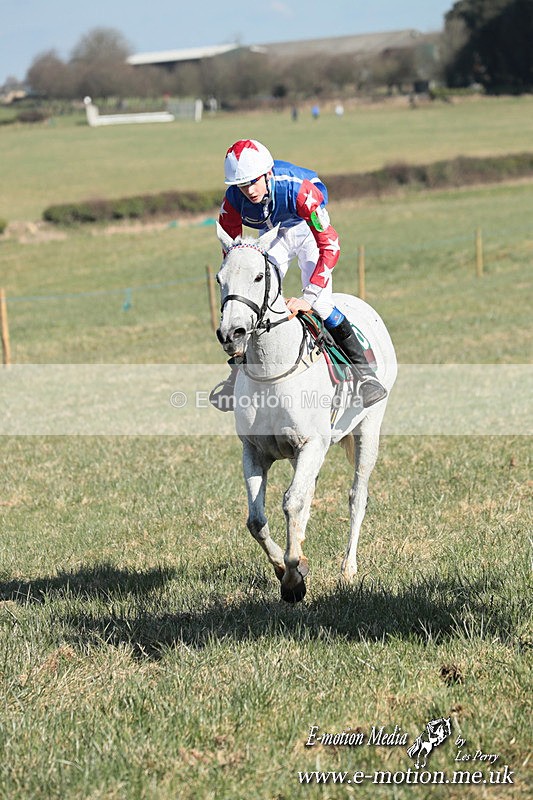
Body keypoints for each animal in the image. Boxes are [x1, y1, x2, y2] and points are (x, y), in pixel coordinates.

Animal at [215, 223, 397, 602]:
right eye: (219, 278)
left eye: (258, 276)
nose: (231, 333)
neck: (272, 369)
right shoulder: (254, 451)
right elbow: (257, 520)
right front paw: (287, 566)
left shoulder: (311, 444)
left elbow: (292, 502)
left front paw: (293, 579)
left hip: (368, 429)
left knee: (357, 496)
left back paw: (348, 569)